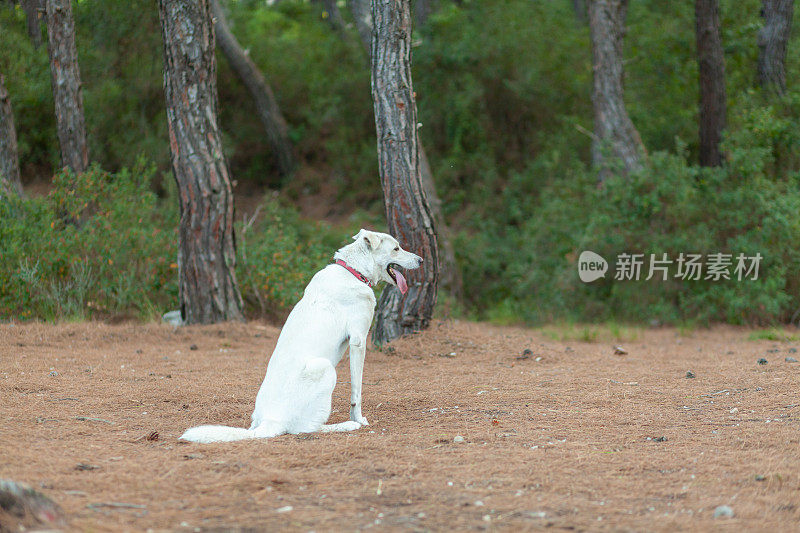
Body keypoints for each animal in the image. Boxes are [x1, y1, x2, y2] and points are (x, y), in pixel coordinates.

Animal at [180, 228, 418, 440]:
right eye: (396, 248)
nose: (422, 260)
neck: (353, 272)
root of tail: (269, 422)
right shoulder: (358, 341)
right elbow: (356, 392)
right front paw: (358, 419)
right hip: (325, 368)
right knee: (306, 428)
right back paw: (345, 426)